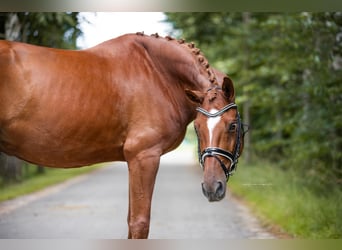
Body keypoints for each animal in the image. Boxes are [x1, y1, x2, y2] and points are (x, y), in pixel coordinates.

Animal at [1, 33, 244, 238]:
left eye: (232, 126)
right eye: (197, 127)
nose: (212, 188)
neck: (159, 72)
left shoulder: (133, 160)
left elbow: (130, 221)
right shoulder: (144, 156)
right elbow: (139, 223)